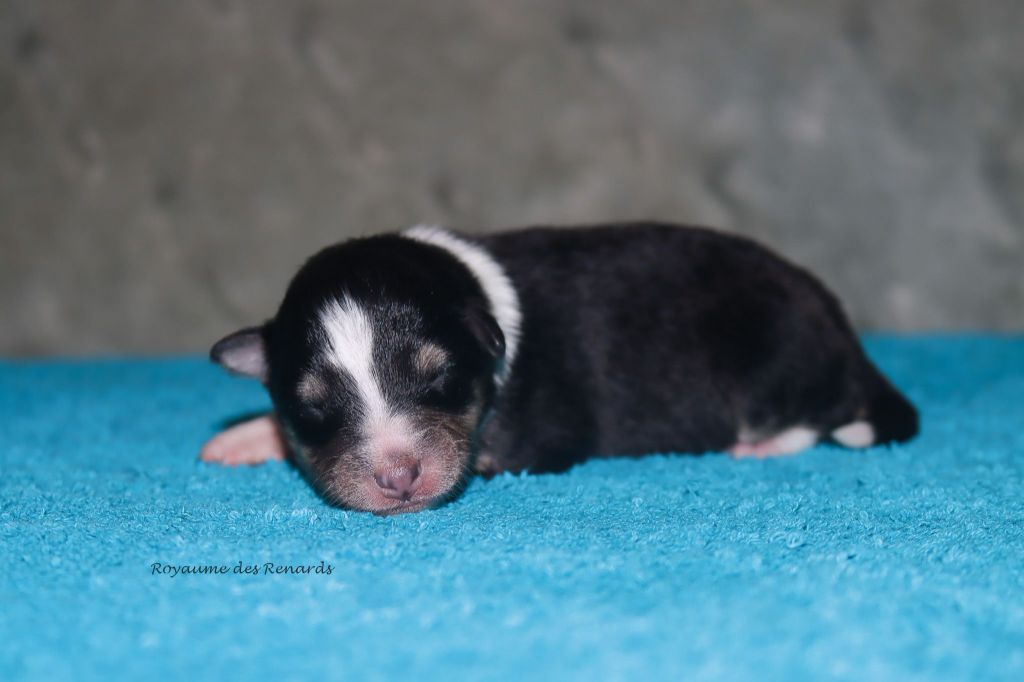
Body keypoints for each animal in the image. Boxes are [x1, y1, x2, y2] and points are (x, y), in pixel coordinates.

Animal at [201, 222, 918, 514]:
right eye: (313, 407)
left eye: (439, 378)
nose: (398, 478)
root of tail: (845, 334)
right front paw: (244, 435)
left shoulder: (536, 441)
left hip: (777, 360)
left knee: (821, 415)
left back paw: (760, 445)